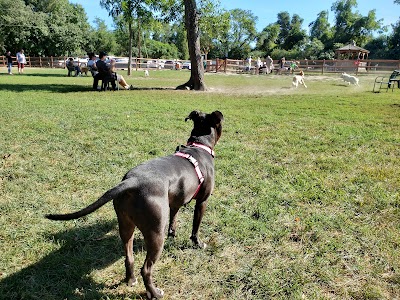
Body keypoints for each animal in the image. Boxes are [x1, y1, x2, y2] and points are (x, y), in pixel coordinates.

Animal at [46, 110, 225, 300]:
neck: (199, 145)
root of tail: (132, 181)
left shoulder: (175, 201)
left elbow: (174, 218)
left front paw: (173, 233)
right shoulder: (202, 201)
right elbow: (195, 228)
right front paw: (198, 243)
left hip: (126, 225)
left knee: (129, 257)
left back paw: (131, 280)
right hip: (155, 234)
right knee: (146, 269)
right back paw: (154, 293)